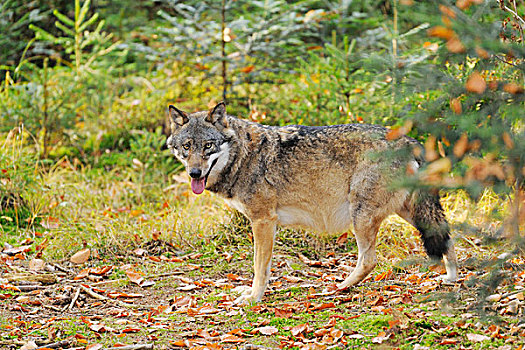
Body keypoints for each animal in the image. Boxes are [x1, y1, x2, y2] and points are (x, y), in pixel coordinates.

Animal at [166, 101, 456, 304]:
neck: (243, 156)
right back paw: (452, 278)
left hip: (361, 216)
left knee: (370, 261)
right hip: (409, 212)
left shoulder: (263, 221)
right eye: (187, 147)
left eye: (208, 146)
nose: (194, 173)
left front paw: (253, 298)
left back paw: (340, 287)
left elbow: (260, 267)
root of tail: (409, 140)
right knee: (446, 237)